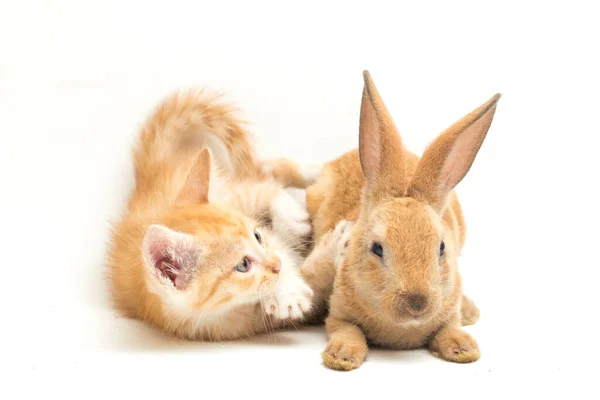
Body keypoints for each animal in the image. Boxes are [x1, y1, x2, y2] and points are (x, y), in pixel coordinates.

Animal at [108, 89, 332, 340]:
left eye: (257, 237)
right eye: (243, 265)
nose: (277, 265)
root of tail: (148, 175)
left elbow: (281, 245)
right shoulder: (234, 324)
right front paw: (287, 291)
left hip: (227, 193)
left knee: (263, 180)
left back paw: (301, 201)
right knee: (266, 175)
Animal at [304, 70, 502, 370]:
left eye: (441, 248)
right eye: (377, 248)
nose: (416, 303)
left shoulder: (448, 309)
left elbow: (449, 328)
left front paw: (463, 348)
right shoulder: (338, 313)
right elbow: (347, 330)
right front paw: (342, 356)